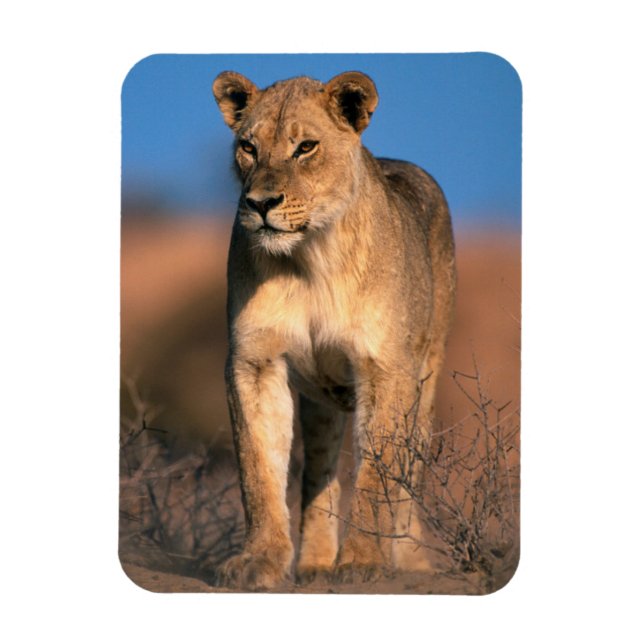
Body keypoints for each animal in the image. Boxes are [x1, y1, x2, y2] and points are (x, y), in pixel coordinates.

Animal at [212, 70, 456, 590]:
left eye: (305, 147)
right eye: (248, 147)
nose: (260, 204)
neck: (310, 259)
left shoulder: (386, 368)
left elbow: (378, 473)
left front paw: (364, 561)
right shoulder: (255, 361)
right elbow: (258, 468)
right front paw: (260, 559)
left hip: (426, 378)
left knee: (410, 471)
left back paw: (407, 559)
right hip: (322, 403)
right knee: (318, 472)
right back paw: (315, 563)